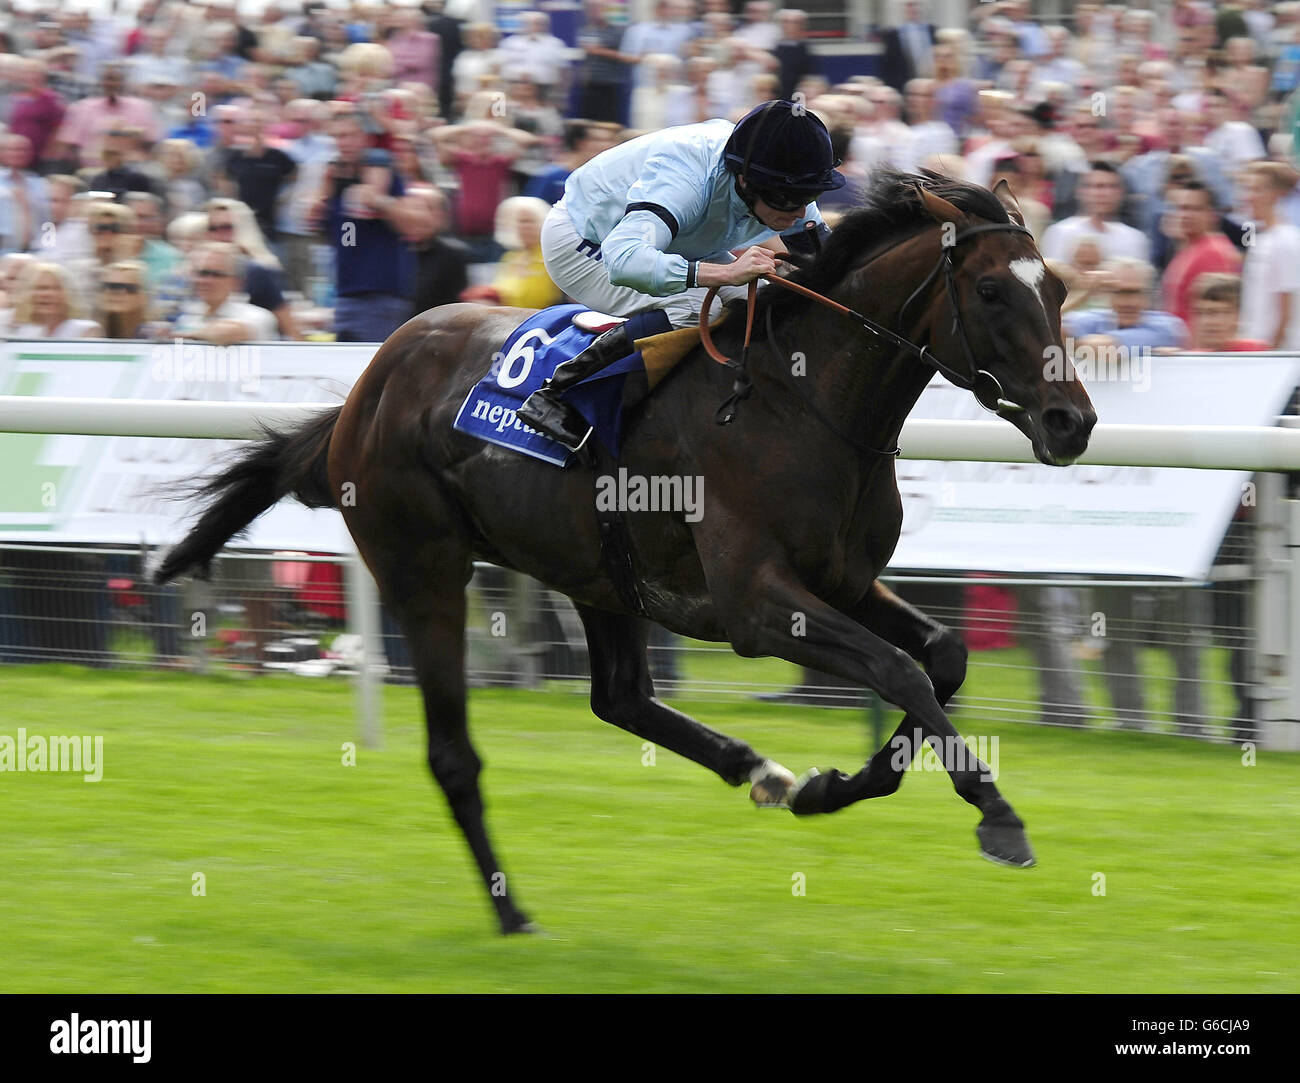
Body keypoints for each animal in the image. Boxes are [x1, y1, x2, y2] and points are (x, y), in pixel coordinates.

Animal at [159, 166, 1097, 930]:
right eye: (989, 291)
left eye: (1054, 285)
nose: (1072, 422)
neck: (802, 401)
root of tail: (365, 388)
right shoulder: (757, 604)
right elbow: (901, 670)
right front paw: (997, 815)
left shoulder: (845, 579)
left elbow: (941, 657)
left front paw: (833, 786)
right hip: (423, 566)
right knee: (455, 752)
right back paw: (512, 912)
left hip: (597, 574)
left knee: (620, 697)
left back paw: (759, 769)